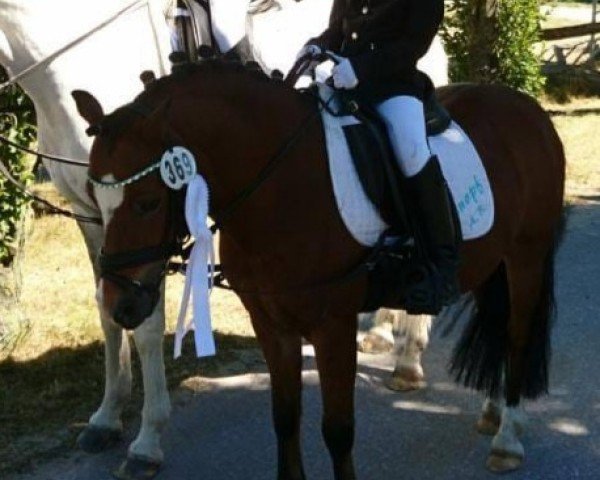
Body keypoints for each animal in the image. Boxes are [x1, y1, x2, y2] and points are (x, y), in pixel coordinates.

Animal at [72, 62, 564, 478]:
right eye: (94, 199)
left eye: (148, 202)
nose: (120, 305)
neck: (280, 186)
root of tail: (525, 107)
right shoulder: (272, 325)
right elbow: (285, 419)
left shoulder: (334, 326)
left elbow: (338, 429)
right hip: (490, 262)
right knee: (497, 325)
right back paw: (493, 413)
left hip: (526, 257)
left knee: (517, 337)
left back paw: (508, 439)